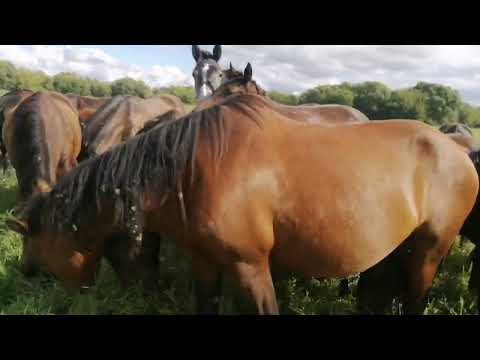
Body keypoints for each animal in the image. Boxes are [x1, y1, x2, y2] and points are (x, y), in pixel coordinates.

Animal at [5, 66, 478, 314]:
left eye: (35, 248)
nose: (25, 275)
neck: (192, 170)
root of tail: (456, 149)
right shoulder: (204, 262)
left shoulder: (250, 266)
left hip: (430, 251)